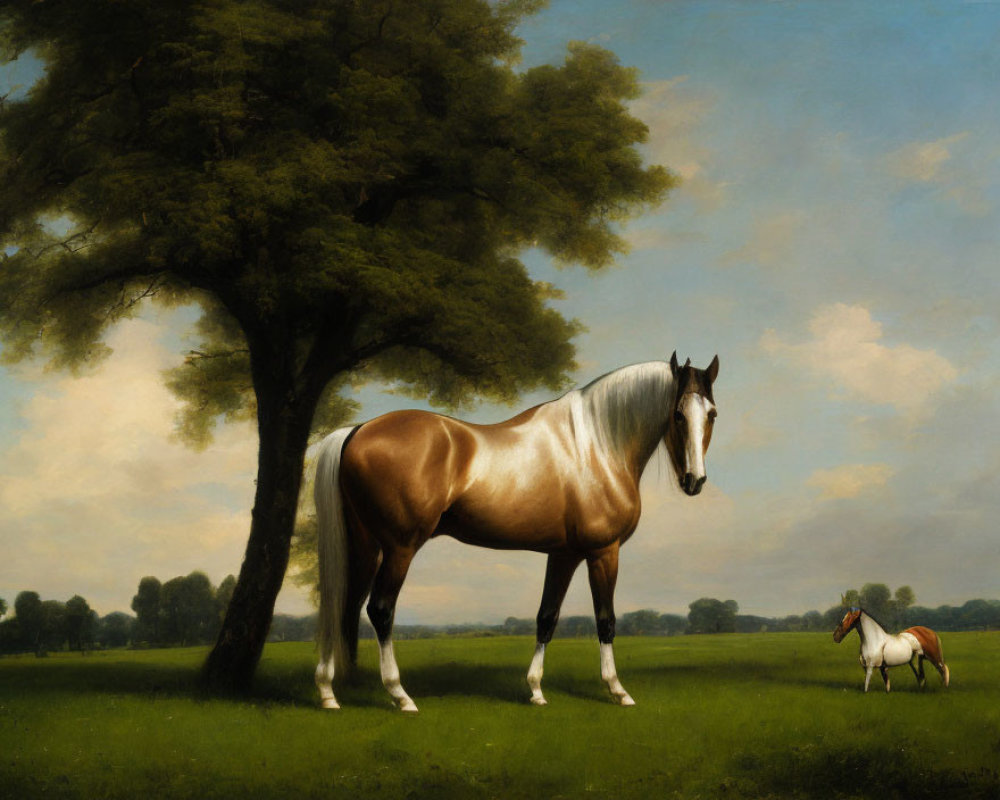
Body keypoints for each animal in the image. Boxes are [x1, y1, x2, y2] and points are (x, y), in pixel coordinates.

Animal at [312, 354, 720, 708]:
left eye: (711, 414)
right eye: (678, 414)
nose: (694, 481)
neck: (595, 447)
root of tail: (357, 431)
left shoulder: (564, 554)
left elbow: (546, 618)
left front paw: (536, 690)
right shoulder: (604, 551)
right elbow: (605, 621)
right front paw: (617, 691)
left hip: (365, 546)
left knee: (342, 604)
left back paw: (331, 693)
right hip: (400, 547)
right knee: (380, 609)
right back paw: (399, 696)